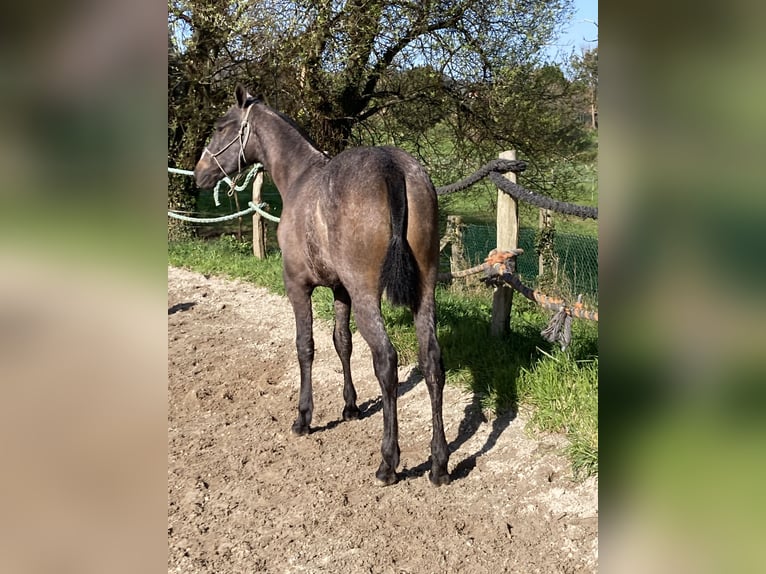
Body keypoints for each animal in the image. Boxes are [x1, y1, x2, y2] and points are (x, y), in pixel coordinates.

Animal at [194, 85, 450, 486]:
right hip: (424, 292)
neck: (299, 178)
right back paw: (439, 463)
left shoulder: (298, 286)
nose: (199, 173)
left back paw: (388, 462)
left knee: (386, 361)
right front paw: (350, 406)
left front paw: (304, 417)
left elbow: (306, 346)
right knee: (432, 363)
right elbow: (342, 343)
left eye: (221, 127)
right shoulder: (340, 289)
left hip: (367, 296)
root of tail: (391, 167)